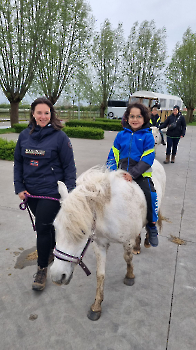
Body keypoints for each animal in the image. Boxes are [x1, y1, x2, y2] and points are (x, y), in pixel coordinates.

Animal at [50, 160, 165, 322]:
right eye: (55, 227)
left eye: (83, 231)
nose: (56, 276)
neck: (107, 213)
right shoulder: (100, 244)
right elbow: (100, 274)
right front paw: (96, 306)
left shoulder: (126, 240)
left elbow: (127, 258)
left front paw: (129, 276)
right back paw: (138, 246)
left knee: (151, 221)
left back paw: (149, 239)